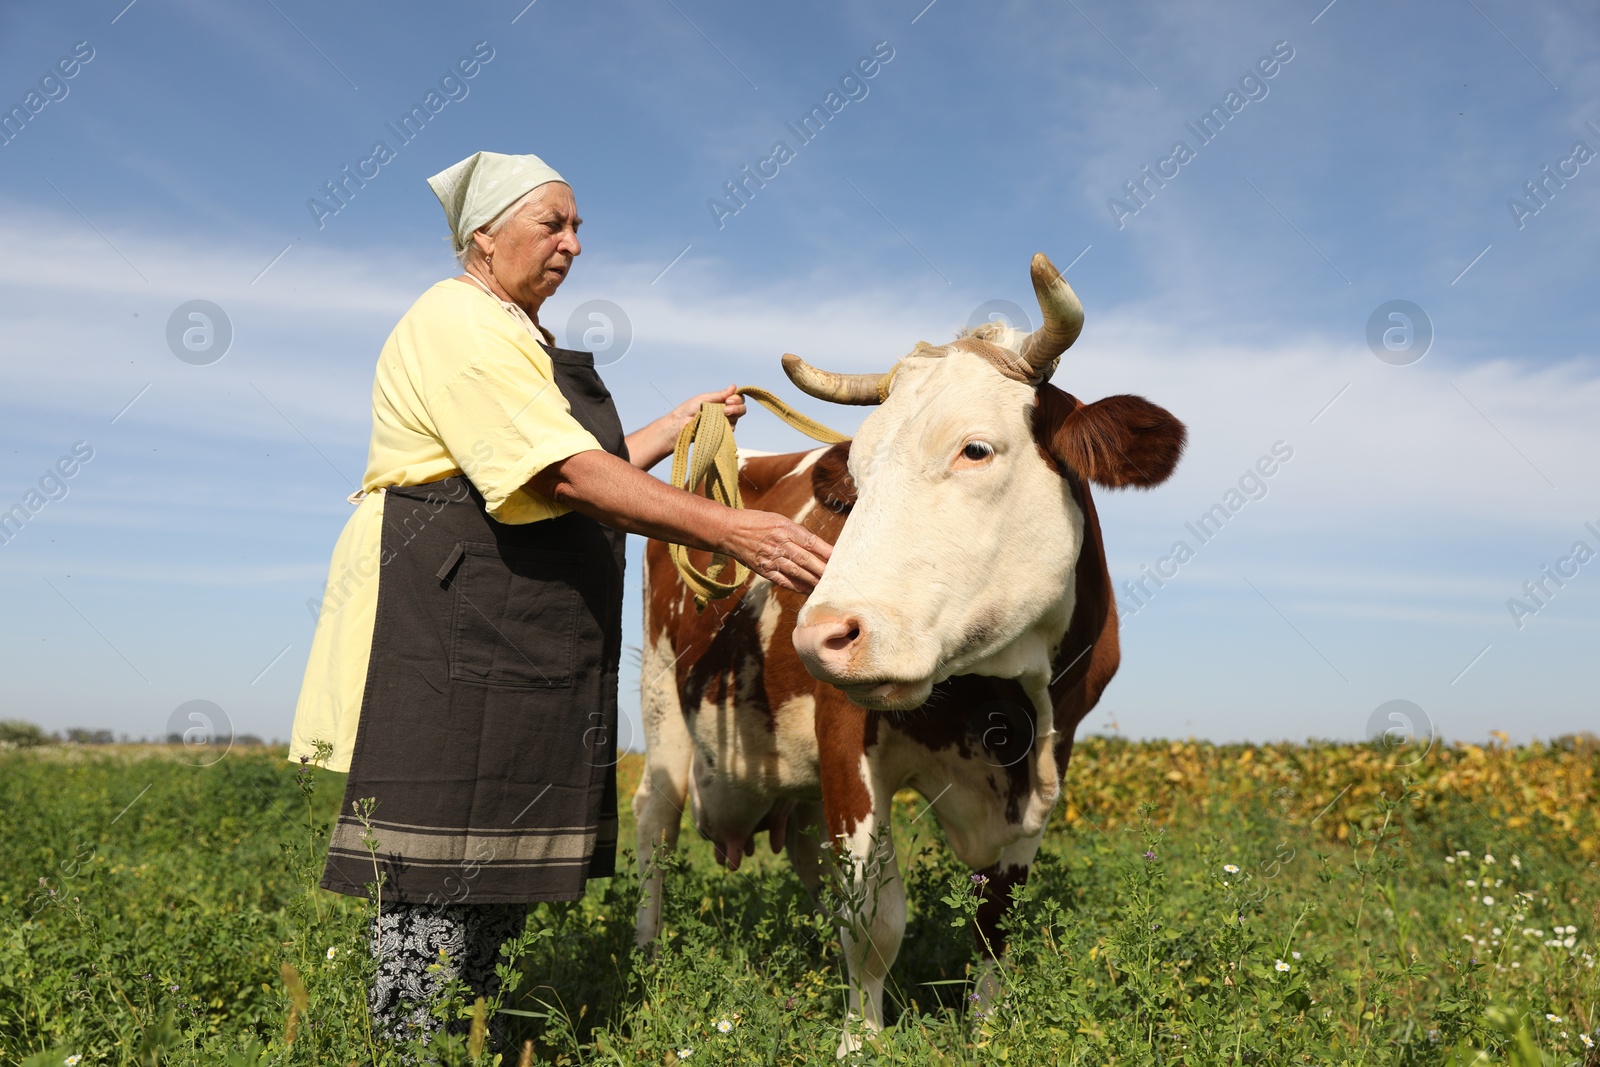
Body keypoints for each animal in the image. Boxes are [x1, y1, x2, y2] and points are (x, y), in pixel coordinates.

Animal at [630, 254, 1184, 1055]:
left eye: (975, 448)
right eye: (857, 479)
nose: (821, 634)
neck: (999, 700)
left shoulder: (1055, 754)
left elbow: (995, 922)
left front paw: (987, 1029)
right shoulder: (845, 742)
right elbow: (875, 921)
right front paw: (859, 1041)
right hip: (662, 706)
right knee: (655, 821)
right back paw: (648, 955)